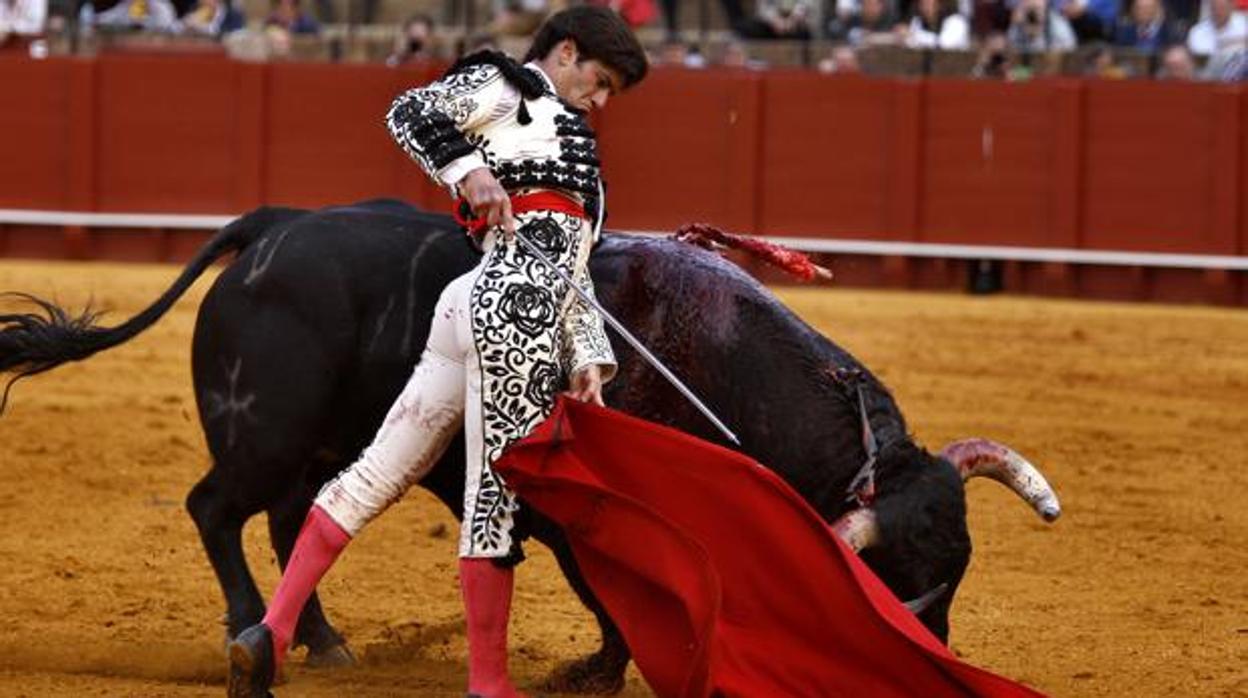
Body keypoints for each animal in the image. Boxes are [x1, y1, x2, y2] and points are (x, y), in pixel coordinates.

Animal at [0, 201, 1058, 694]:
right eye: (899, 579)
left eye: (959, 572)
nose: (934, 655)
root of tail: (274, 228)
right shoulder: (590, 518)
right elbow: (614, 597)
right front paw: (596, 672)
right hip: (265, 432)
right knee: (218, 508)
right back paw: (250, 638)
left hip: (320, 442)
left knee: (301, 513)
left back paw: (320, 640)